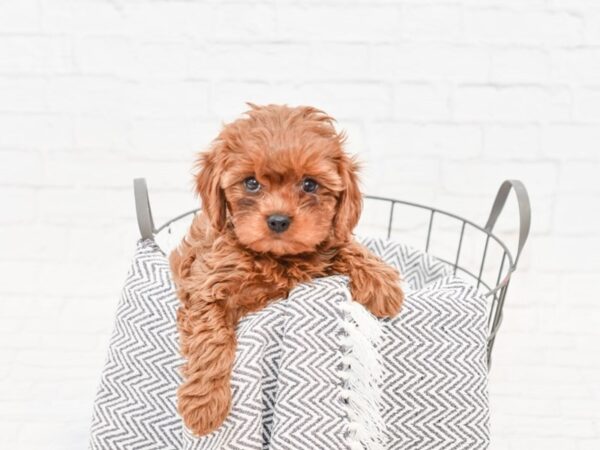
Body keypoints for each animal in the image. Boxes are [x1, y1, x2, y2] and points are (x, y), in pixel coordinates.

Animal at [169, 104, 404, 436]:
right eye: (251, 183)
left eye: (309, 184)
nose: (278, 220)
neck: (276, 259)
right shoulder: (205, 286)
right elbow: (210, 339)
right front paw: (203, 405)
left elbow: (344, 246)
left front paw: (382, 282)